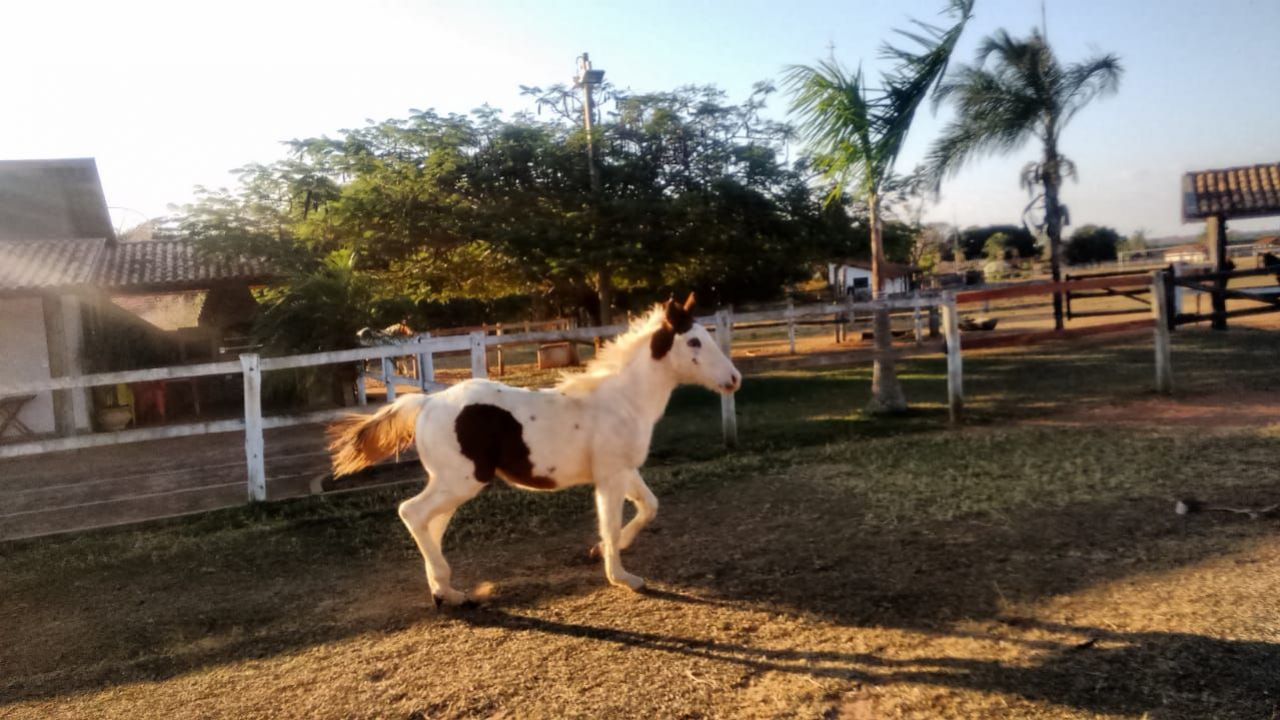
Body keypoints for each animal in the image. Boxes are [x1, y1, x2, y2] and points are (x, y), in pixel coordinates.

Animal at [327, 295, 741, 606]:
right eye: (693, 342)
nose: (734, 379)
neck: (622, 400)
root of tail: (426, 402)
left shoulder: (625, 470)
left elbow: (649, 507)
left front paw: (599, 552)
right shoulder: (609, 477)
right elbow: (609, 523)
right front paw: (623, 577)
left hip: (450, 483)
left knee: (431, 524)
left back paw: (446, 592)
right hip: (461, 481)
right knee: (411, 512)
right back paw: (447, 588)